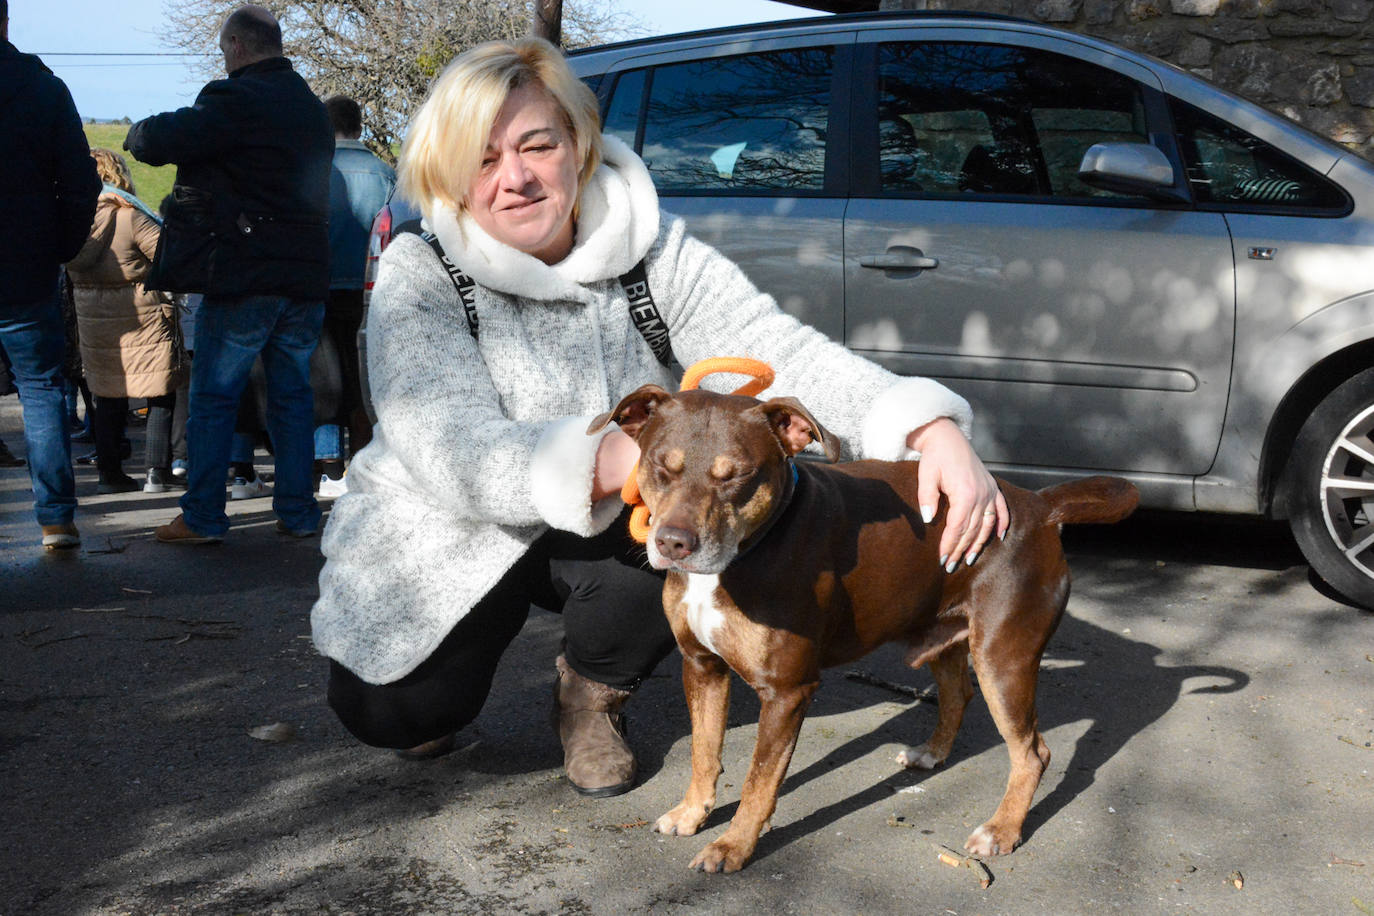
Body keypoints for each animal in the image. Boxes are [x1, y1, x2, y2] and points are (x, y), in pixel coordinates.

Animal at [590, 384, 1137, 873]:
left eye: (737, 476)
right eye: (660, 465)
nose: (672, 543)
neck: (752, 547)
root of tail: (1040, 507)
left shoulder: (787, 691)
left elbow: (758, 781)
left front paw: (733, 847)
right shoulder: (702, 667)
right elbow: (704, 752)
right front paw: (692, 813)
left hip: (1004, 659)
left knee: (1032, 753)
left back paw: (1001, 830)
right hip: (946, 635)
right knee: (958, 694)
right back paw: (932, 754)